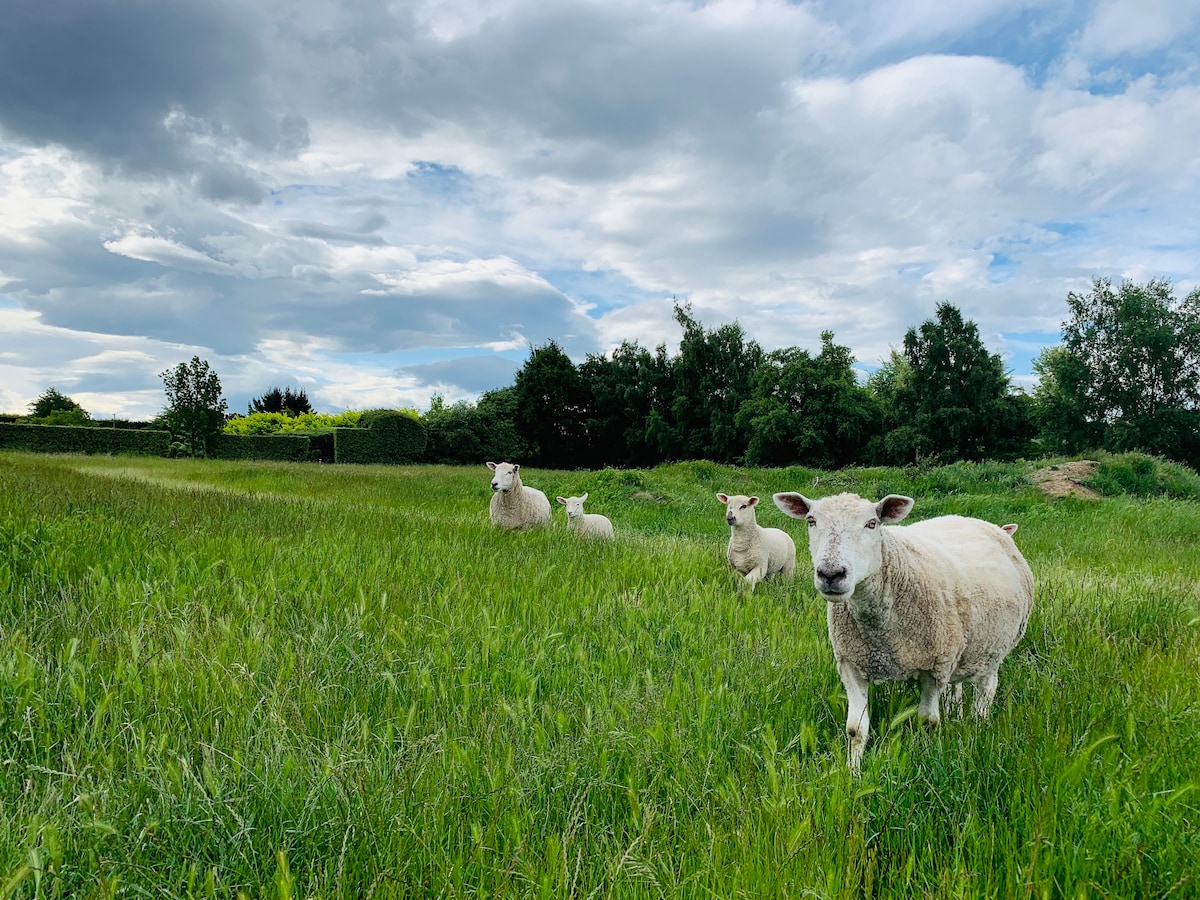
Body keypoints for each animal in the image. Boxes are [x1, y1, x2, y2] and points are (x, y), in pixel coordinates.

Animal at [772, 494, 1036, 777]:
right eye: (811, 521)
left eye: (872, 523)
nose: (831, 574)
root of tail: (977, 521)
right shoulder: (851, 664)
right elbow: (855, 729)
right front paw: (852, 773)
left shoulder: (934, 669)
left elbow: (928, 722)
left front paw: (928, 760)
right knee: (957, 687)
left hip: (994, 650)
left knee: (986, 691)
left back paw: (978, 727)